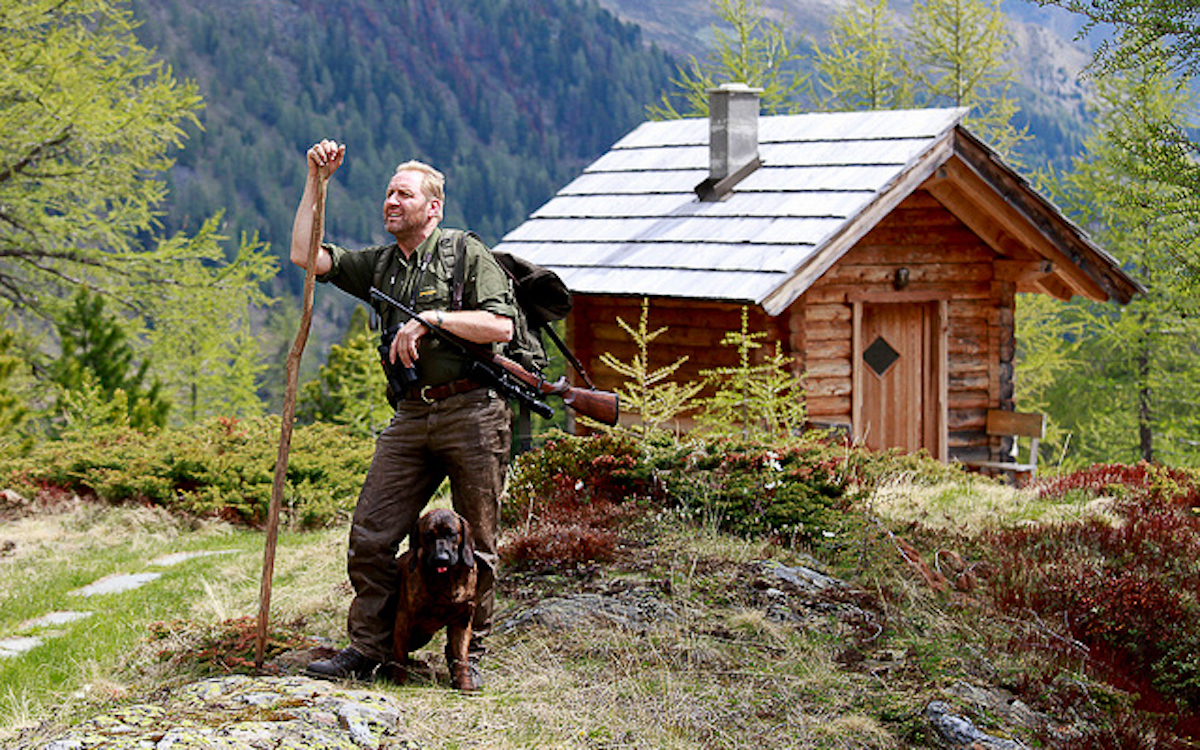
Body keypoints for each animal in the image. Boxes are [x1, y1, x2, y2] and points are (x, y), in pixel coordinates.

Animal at [391, 508, 480, 691]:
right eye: (428, 535)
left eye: (451, 533)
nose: (441, 559)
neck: (446, 579)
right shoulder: (404, 619)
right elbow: (399, 654)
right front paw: (398, 680)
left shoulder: (462, 621)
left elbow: (461, 657)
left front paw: (465, 684)